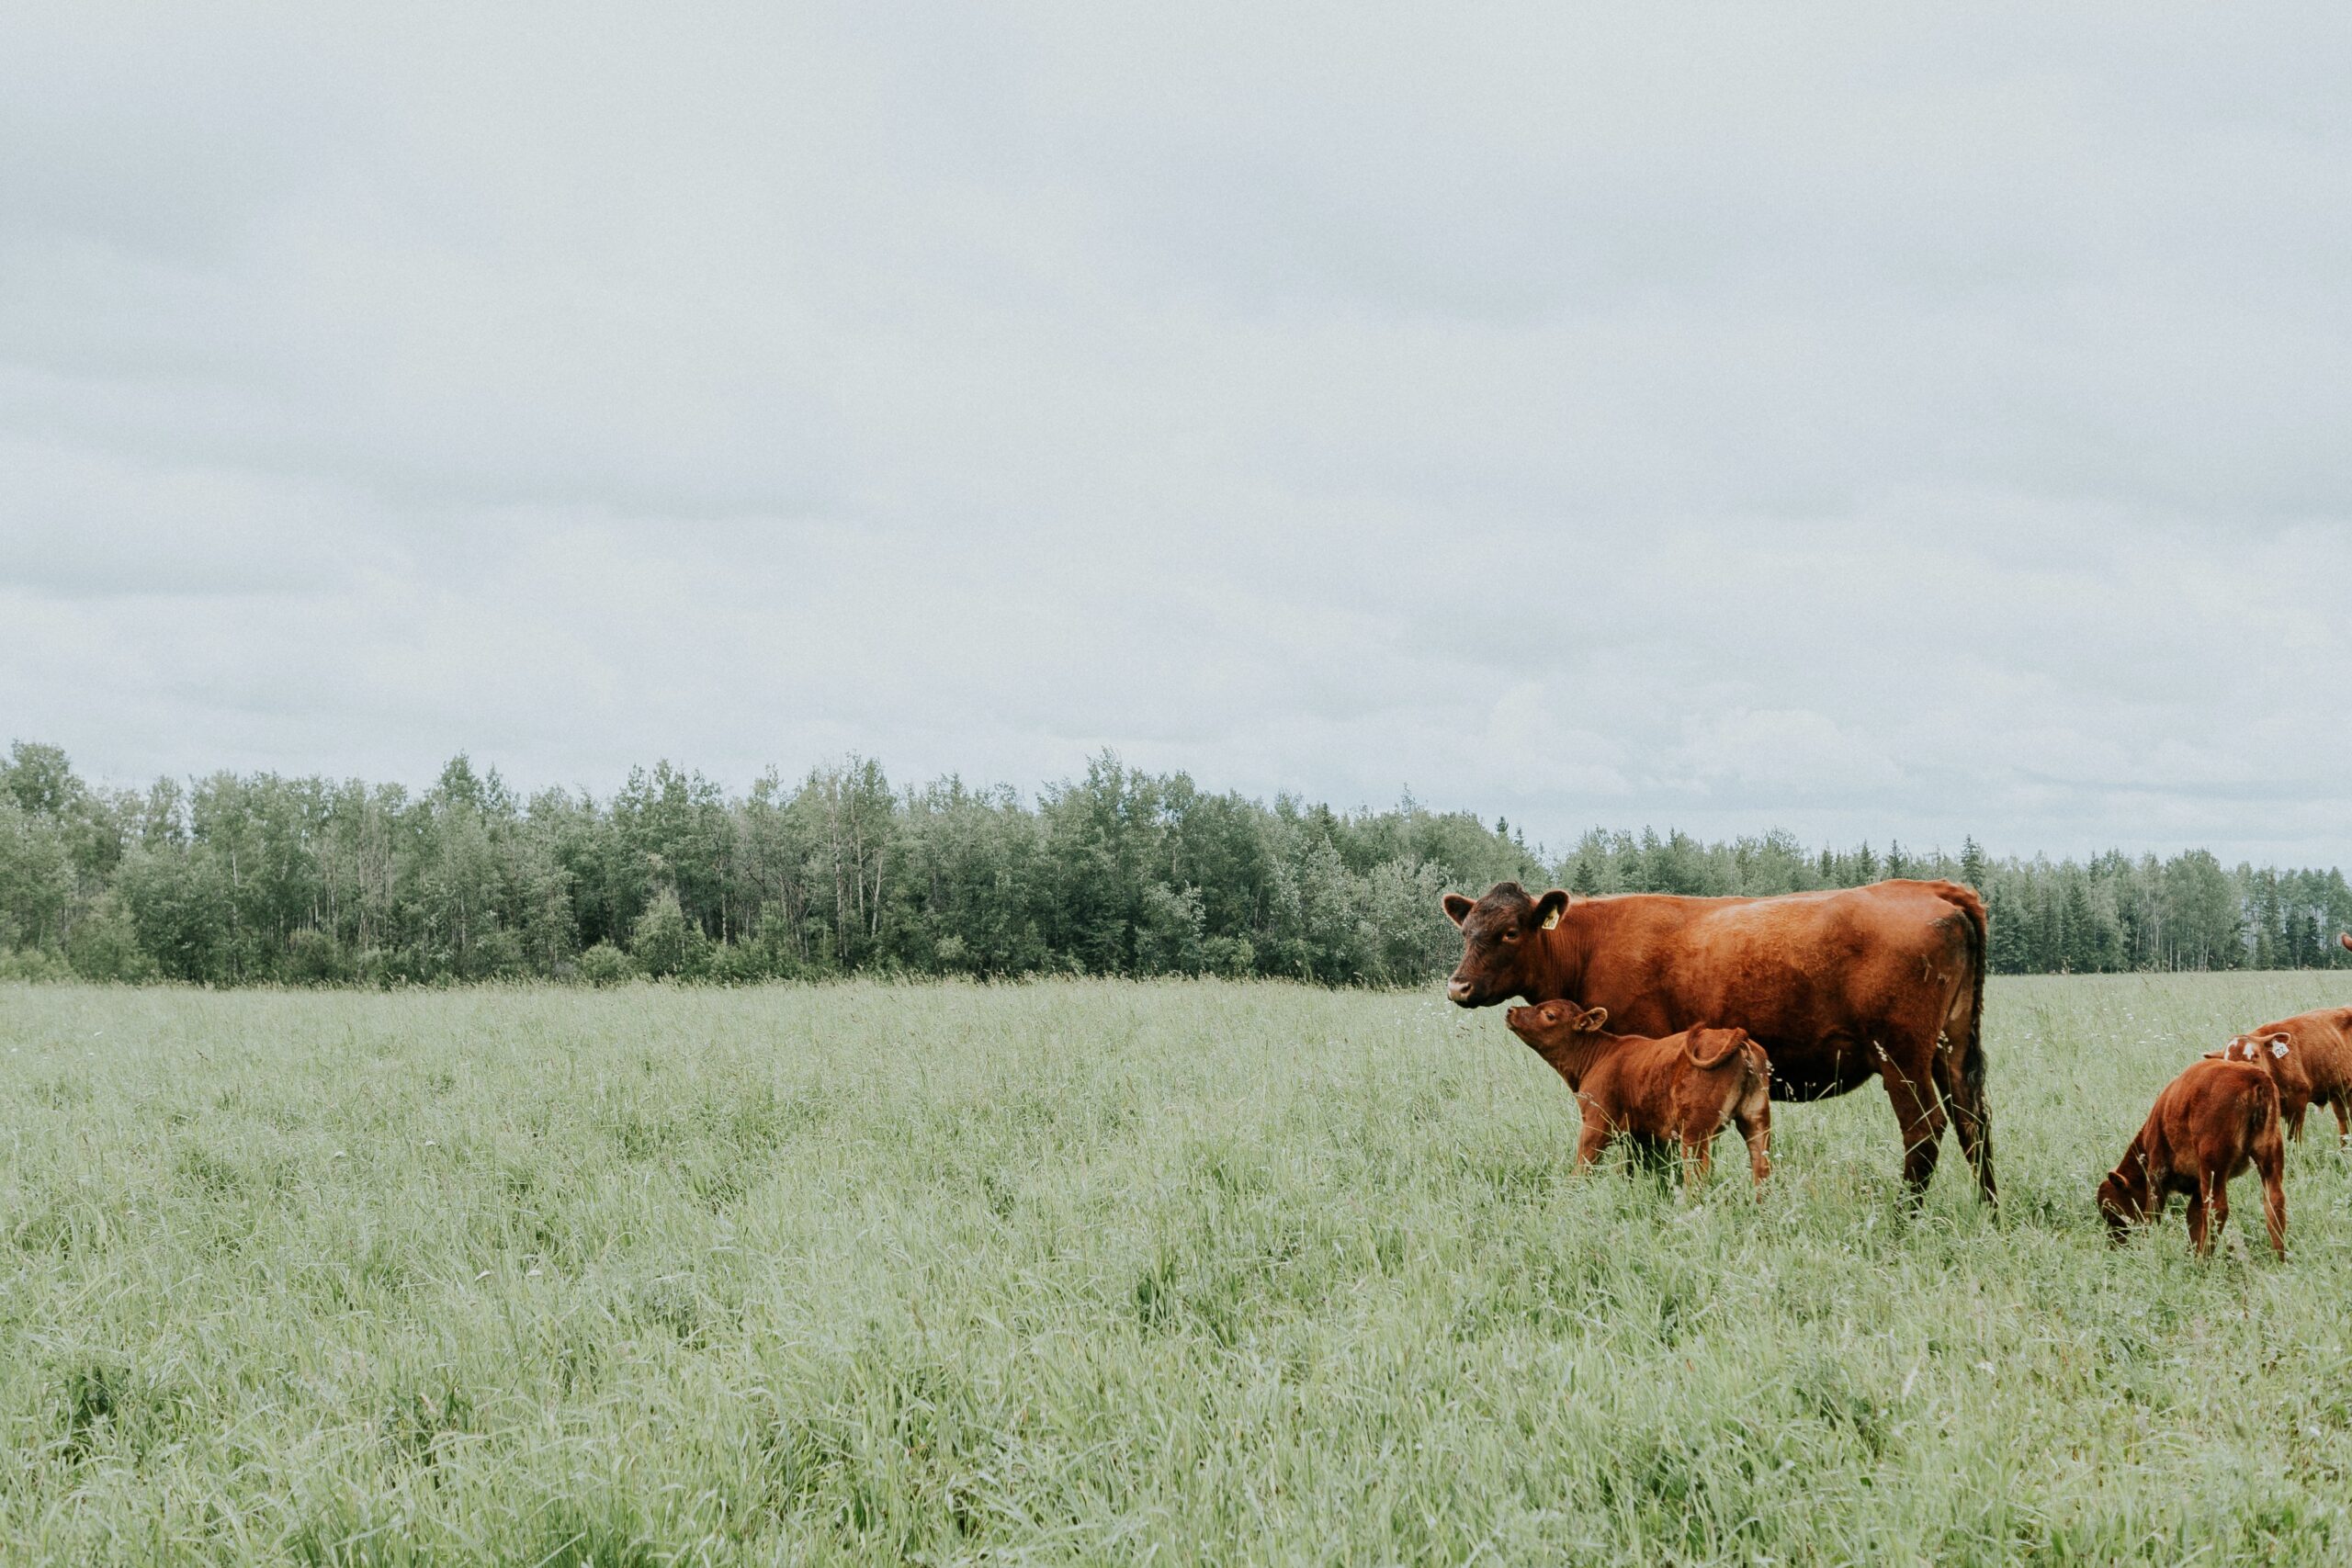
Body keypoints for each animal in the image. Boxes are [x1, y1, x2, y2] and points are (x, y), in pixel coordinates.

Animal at [1505, 1001, 1769, 1194]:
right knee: (1762, 1169)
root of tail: (1740, 1037)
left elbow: (1583, 1165)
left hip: (1695, 1131)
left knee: (1697, 1177)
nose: (1511, 1010)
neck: (1598, 1055)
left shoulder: (1596, 1123)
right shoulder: (1640, 1134)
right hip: (1756, 1120)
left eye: (1549, 1014)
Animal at [2098, 1053, 2277, 1259]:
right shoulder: (2198, 1186)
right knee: (2275, 1203)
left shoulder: (2157, 1170)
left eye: (2112, 1213)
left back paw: (2204, 1260)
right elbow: (2194, 1220)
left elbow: (2153, 1214)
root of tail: (2254, 1077)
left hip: (2213, 1164)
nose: (2113, 1246)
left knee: (2218, 1210)